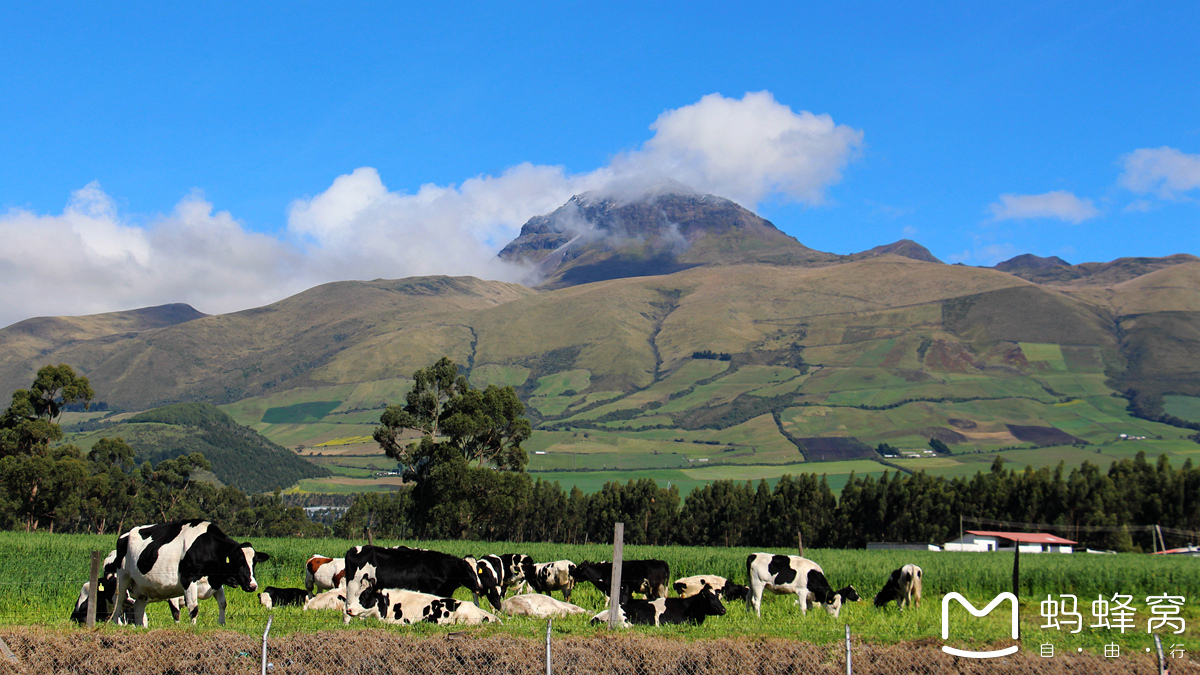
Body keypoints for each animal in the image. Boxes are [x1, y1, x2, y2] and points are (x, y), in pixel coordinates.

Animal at [111, 521, 270, 624]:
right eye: (239, 562)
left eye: (254, 562)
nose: (253, 586)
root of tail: (124, 534)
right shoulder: (188, 580)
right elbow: (194, 608)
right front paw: (193, 627)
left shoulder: (216, 582)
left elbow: (222, 604)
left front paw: (222, 624)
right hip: (123, 577)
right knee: (118, 601)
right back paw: (115, 623)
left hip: (143, 588)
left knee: (138, 608)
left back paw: (141, 627)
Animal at [340, 540, 489, 619]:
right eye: (467, 571)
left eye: (477, 570)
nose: (480, 587)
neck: (440, 568)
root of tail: (354, 549)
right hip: (353, 586)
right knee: (347, 607)